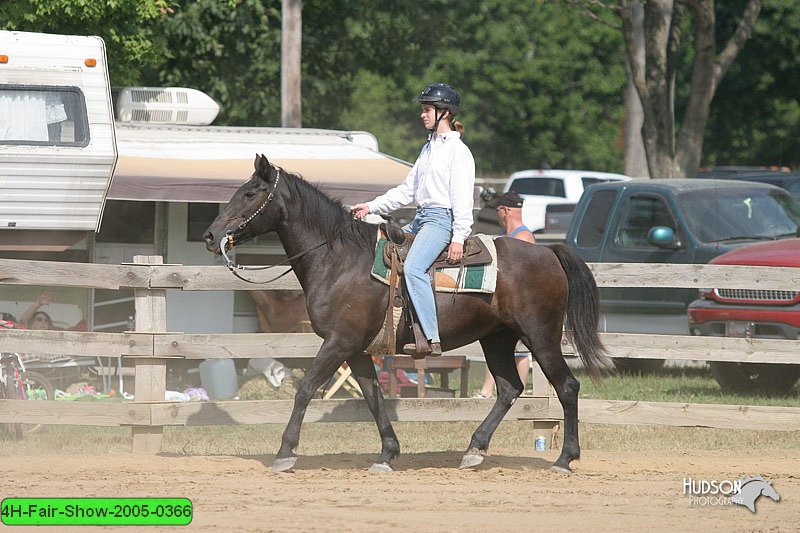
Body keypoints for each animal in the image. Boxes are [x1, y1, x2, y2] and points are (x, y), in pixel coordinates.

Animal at [205, 155, 608, 474]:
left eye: (250, 194)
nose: (211, 235)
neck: (340, 259)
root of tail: (549, 252)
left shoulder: (339, 342)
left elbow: (305, 389)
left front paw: (285, 452)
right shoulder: (357, 349)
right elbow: (373, 396)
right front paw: (387, 453)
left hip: (540, 337)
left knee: (567, 386)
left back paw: (564, 459)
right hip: (497, 338)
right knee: (509, 388)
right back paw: (474, 449)